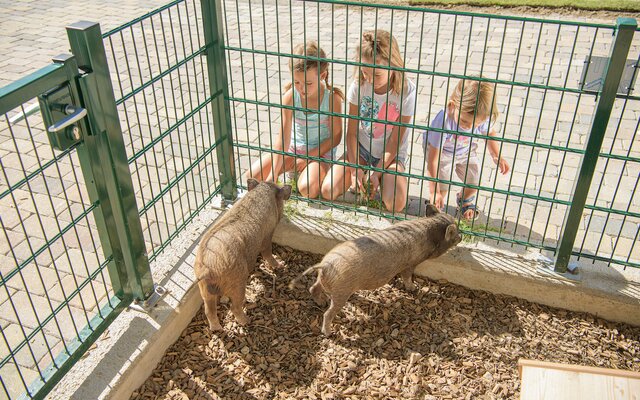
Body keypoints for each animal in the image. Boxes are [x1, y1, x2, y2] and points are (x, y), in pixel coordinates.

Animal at [195, 179, 292, 332]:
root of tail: (207, 268)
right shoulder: (267, 236)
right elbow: (267, 252)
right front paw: (280, 266)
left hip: (204, 289)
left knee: (209, 311)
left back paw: (217, 329)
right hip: (237, 281)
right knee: (234, 306)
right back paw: (247, 321)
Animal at [288, 205, 460, 336]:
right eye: (455, 232)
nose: (461, 237)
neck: (430, 234)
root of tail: (325, 265)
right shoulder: (410, 264)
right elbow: (407, 276)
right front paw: (414, 289)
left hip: (323, 281)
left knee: (313, 288)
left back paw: (321, 302)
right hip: (342, 291)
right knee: (328, 313)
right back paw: (329, 333)